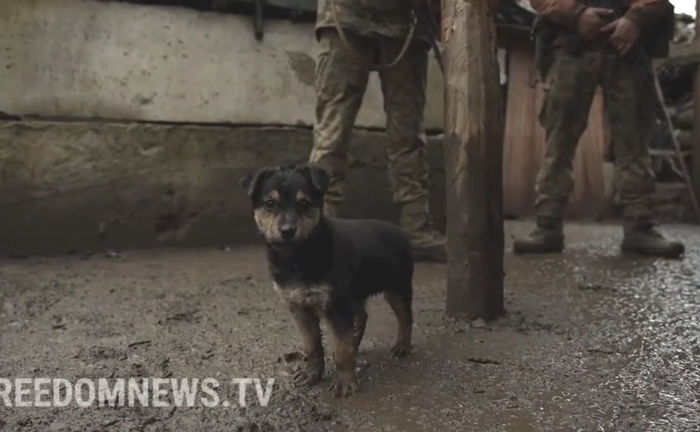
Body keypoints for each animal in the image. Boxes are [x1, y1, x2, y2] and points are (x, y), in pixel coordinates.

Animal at [242, 164, 416, 396]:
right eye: (270, 204)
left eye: (304, 203)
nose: (287, 231)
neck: (297, 256)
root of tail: (399, 230)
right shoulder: (300, 308)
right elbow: (312, 345)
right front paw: (311, 374)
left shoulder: (335, 305)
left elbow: (341, 349)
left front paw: (345, 382)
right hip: (356, 293)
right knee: (362, 316)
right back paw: (356, 343)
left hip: (397, 287)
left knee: (405, 316)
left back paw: (402, 346)